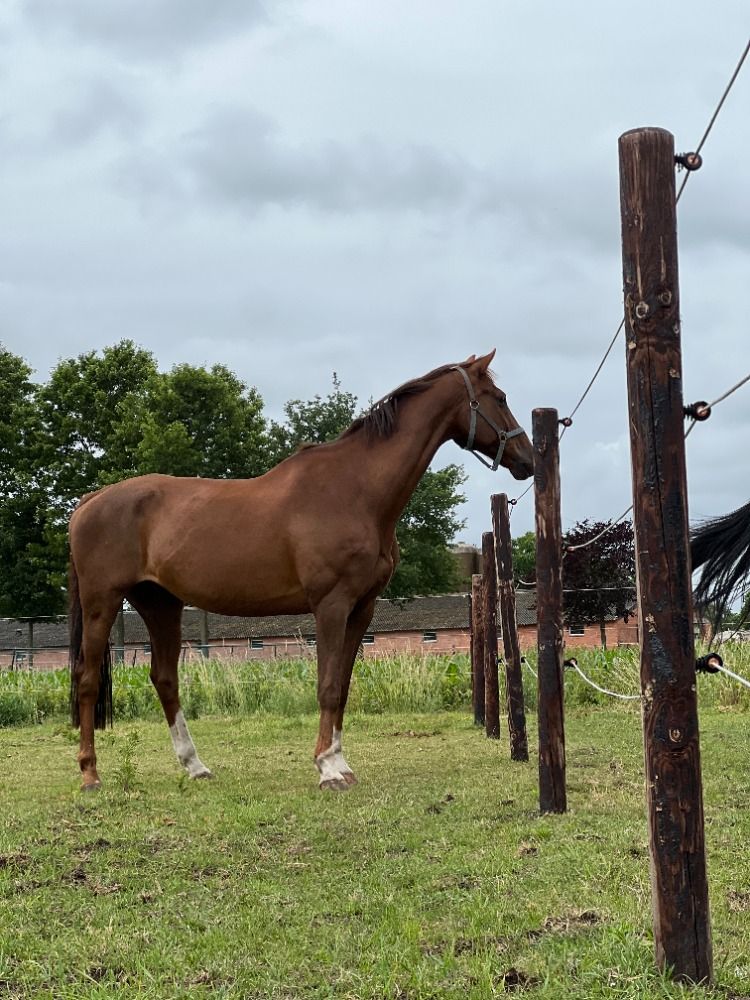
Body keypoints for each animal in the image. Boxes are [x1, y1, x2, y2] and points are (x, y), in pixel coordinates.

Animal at [68, 350, 534, 791]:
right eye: (499, 398)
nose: (527, 458)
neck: (355, 490)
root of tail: (90, 501)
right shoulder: (331, 606)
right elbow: (326, 686)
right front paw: (327, 769)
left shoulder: (361, 609)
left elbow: (342, 686)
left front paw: (342, 764)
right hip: (102, 602)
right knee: (87, 680)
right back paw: (90, 775)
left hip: (160, 604)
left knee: (164, 679)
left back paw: (196, 767)